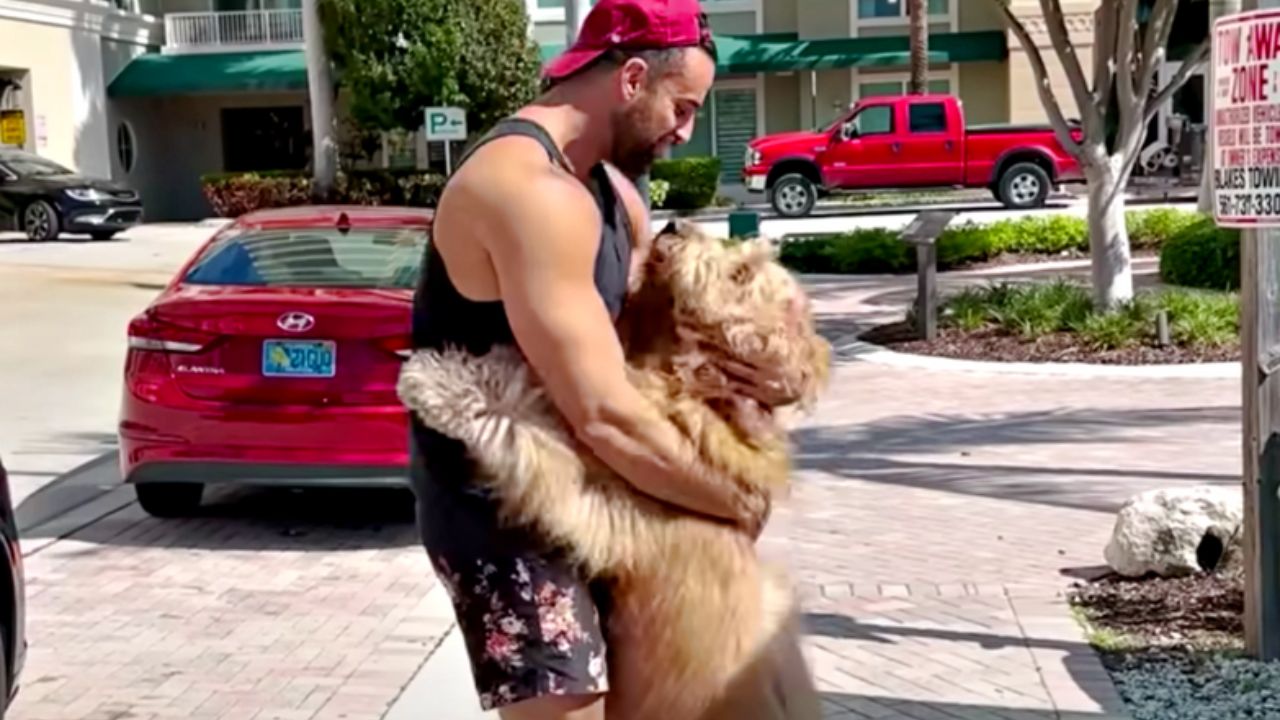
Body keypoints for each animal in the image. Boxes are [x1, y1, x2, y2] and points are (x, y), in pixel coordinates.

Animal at [404, 220, 834, 717]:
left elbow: (525, 420)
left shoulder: (600, 492)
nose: (675, 224)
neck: (701, 386)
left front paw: (438, 381)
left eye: (741, 273)